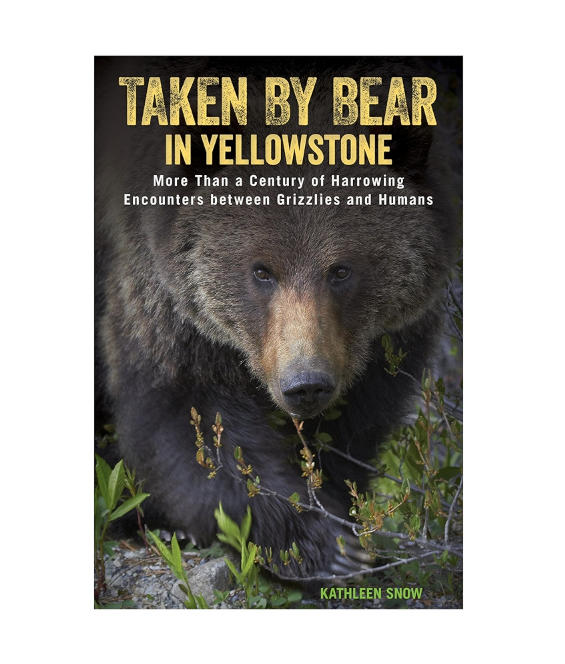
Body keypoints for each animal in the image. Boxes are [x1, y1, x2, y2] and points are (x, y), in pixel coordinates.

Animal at [95, 56, 460, 581]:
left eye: (341, 269)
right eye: (261, 270)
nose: (305, 384)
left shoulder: (380, 343)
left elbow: (357, 422)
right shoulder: (167, 302)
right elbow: (191, 420)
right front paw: (319, 545)